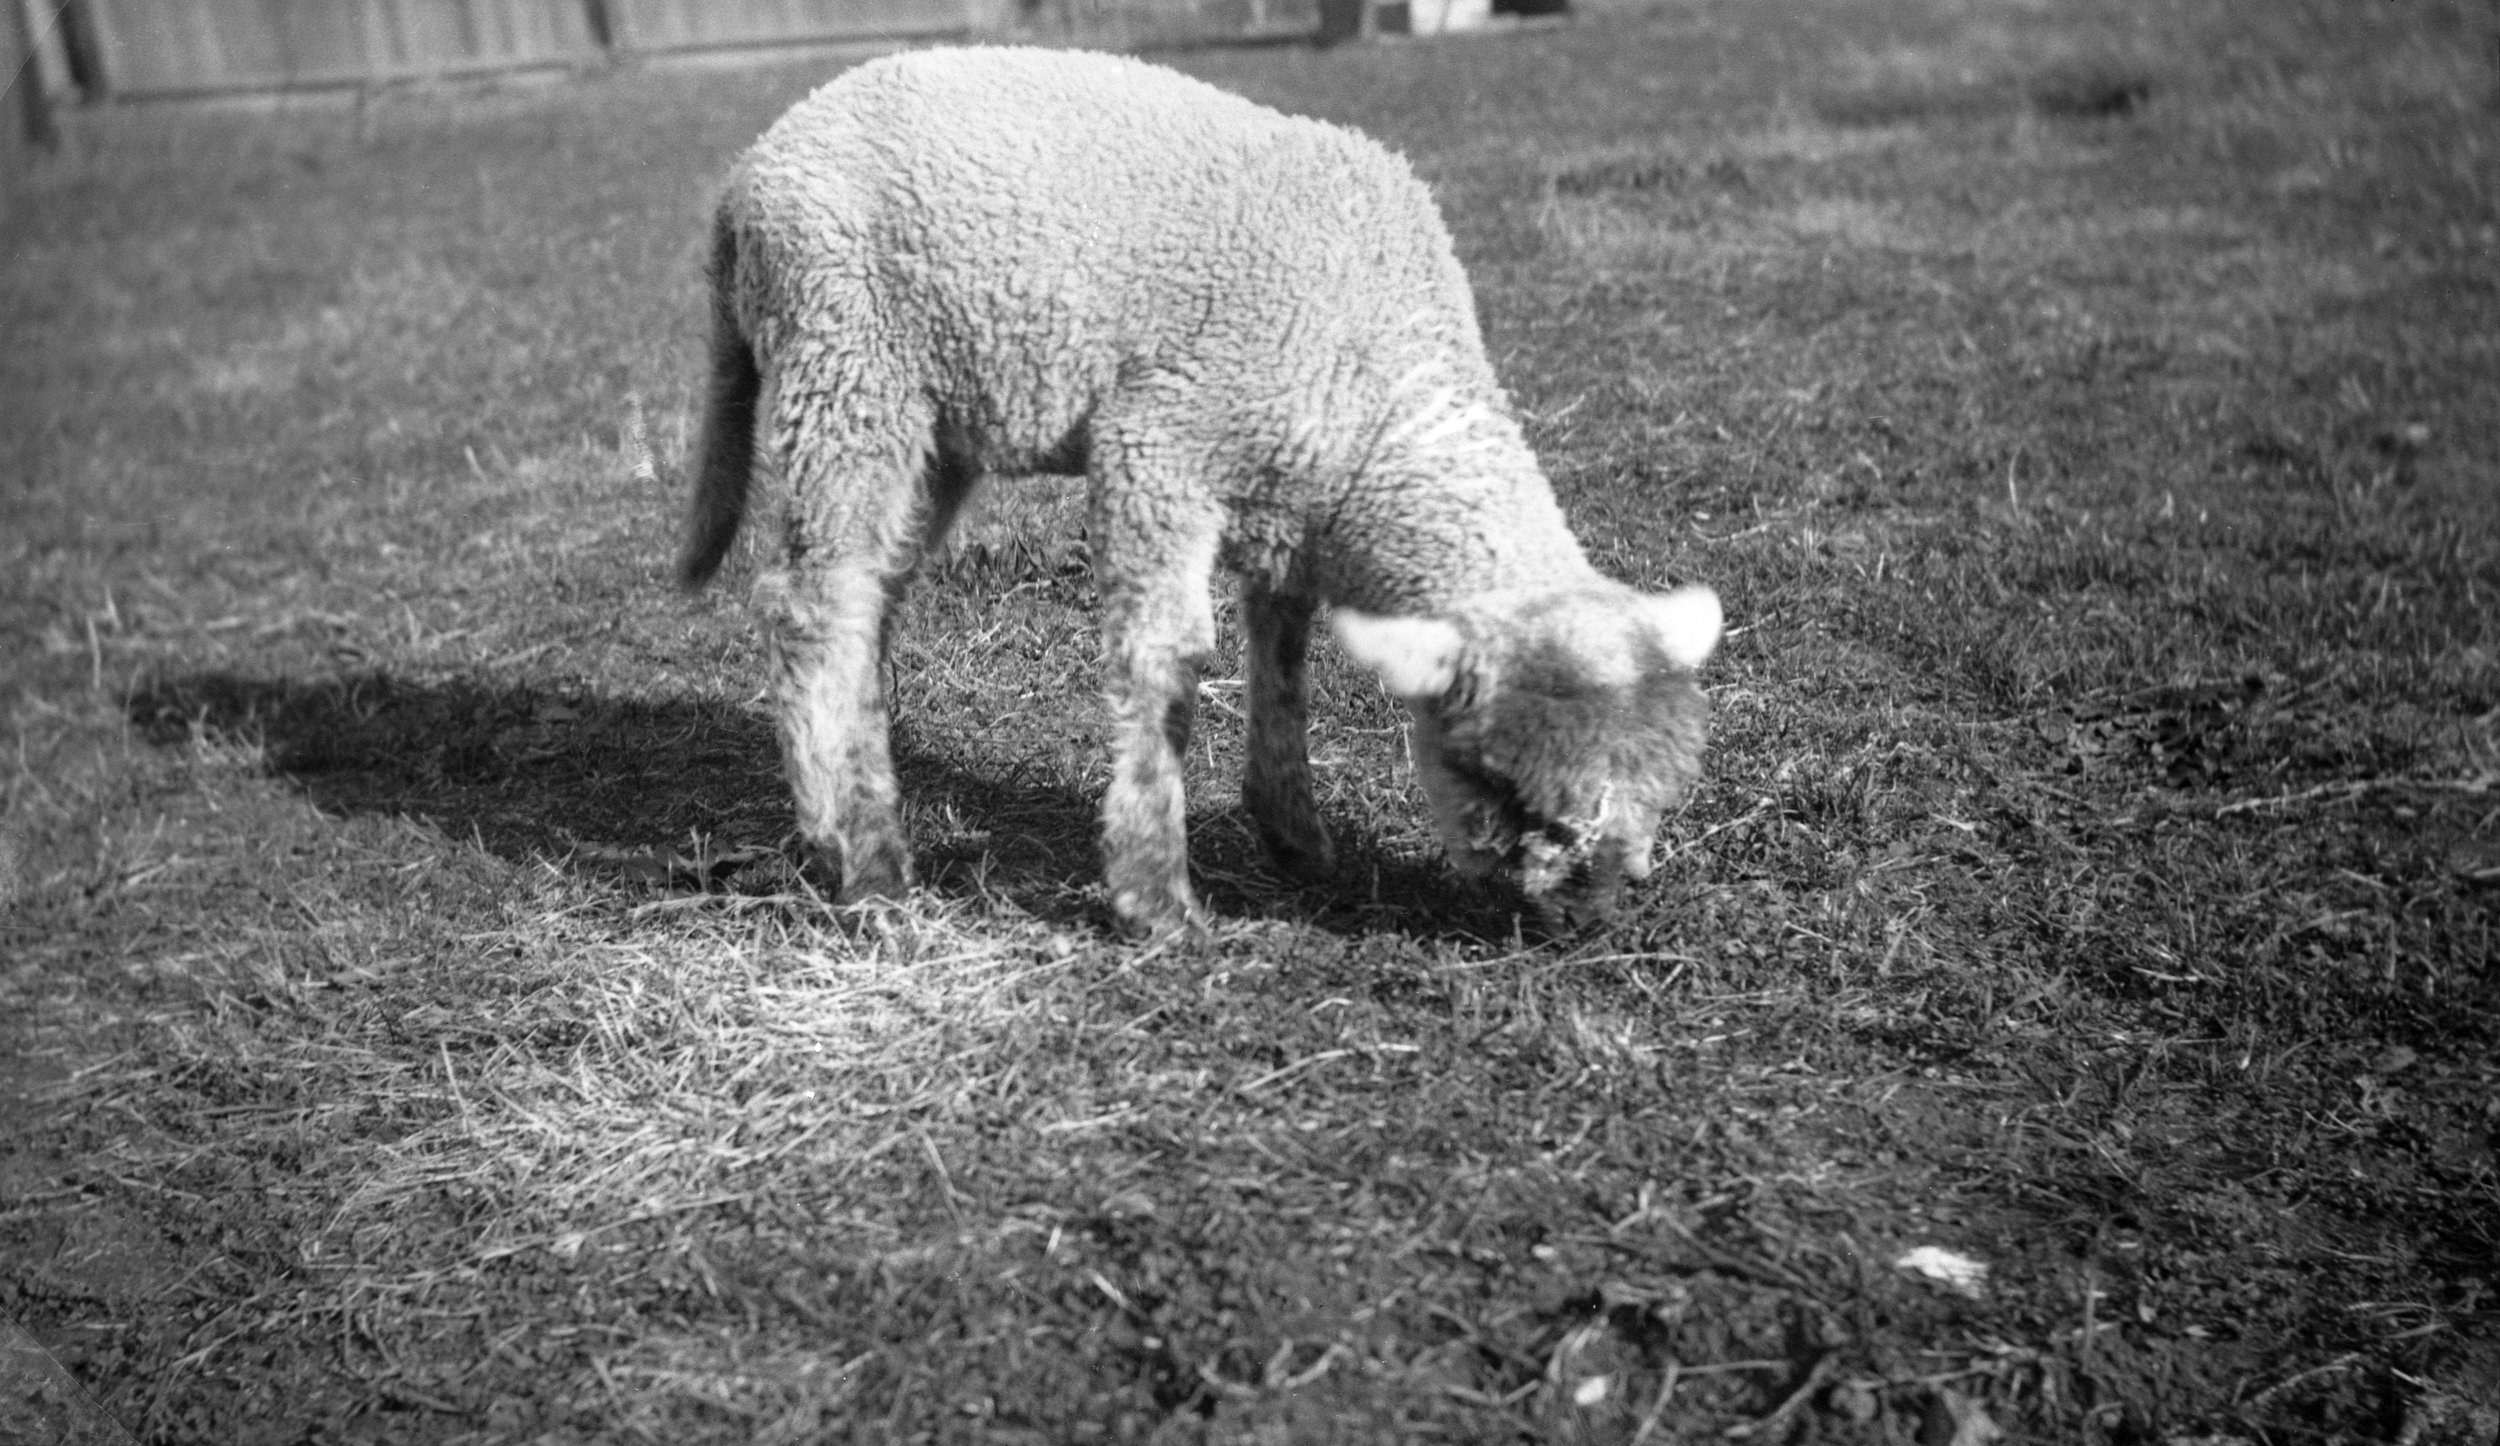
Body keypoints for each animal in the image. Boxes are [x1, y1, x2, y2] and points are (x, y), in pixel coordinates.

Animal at [676, 45, 1722, 936]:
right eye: (1508, 788)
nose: (1586, 922)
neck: (1380, 393)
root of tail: (742, 179)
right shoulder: (1158, 444)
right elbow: (1167, 664)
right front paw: (1155, 898)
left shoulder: (1289, 493)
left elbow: (1286, 653)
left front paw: (1293, 834)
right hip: (847, 361)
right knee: (812, 604)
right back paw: (864, 859)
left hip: (927, 419)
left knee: (864, 597)